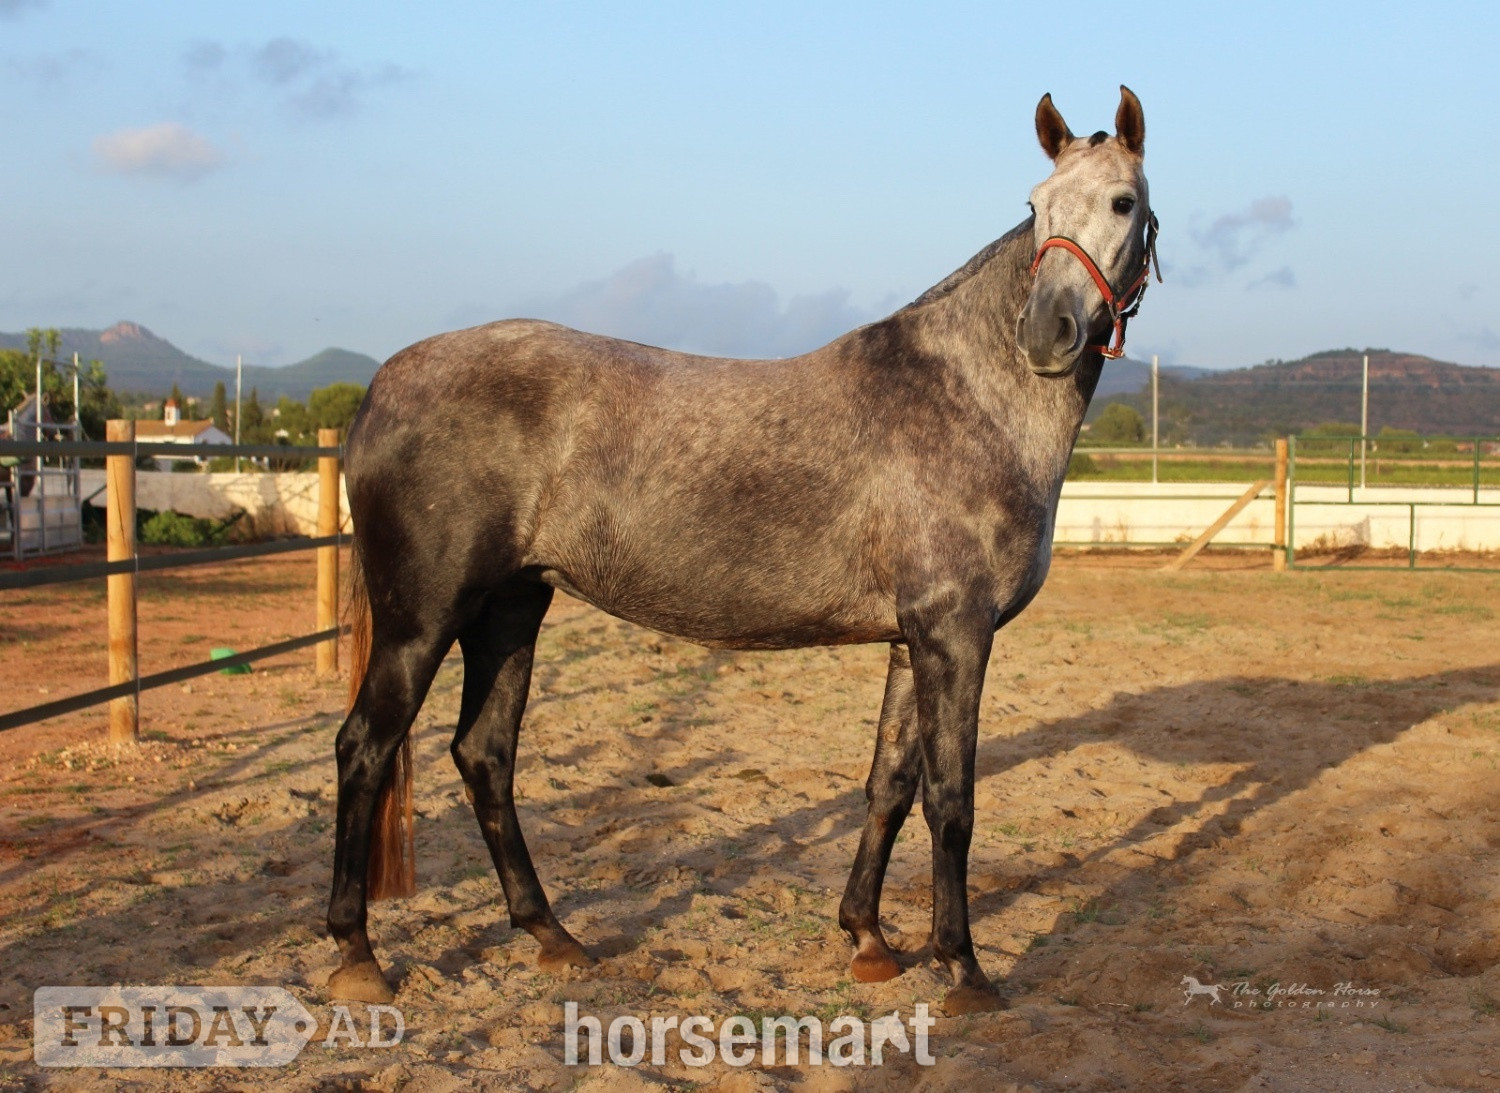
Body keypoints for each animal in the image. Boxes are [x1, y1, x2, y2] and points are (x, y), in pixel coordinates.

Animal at [326, 86, 1160, 1018]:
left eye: (1121, 202)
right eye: (1036, 206)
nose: (1047, 332)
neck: (969, 398)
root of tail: (384, 383)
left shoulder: (915, 638)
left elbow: (889, 784)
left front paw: (869, 939)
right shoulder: (957, 634)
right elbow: (952, 800)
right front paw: (964, 968)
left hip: (510, 608)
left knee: (484, 756)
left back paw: (553, 936)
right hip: (421, 620)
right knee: (364, 749)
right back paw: (357, 953)